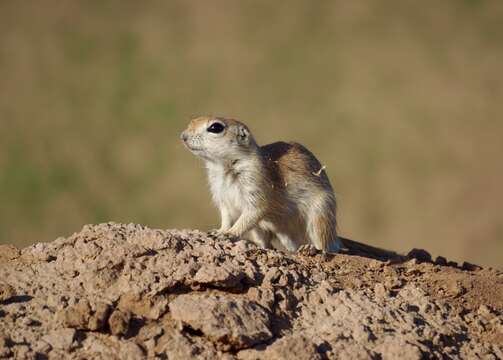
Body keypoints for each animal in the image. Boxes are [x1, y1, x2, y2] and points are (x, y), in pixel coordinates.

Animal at [181, 116, 342, 253]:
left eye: (215, 127)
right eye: (192, 121)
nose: (183, 136)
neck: (222, 167)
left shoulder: (255, 182)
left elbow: (256, 209)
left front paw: (229, 233)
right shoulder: (222, 196)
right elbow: (226, 216)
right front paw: (219, 231)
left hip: (320, 213)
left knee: (324, 245)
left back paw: (310, 248)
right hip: (262, 228)